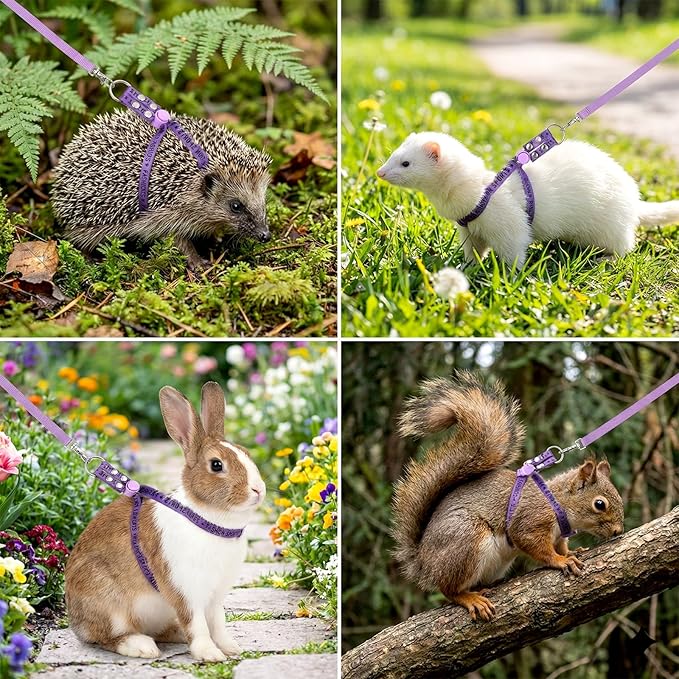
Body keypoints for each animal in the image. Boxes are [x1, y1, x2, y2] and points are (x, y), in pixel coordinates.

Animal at [65, 381, 267, 662]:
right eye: (216, 465)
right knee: (107, 637)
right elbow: (197, 623)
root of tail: (75, 621)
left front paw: (230, 648)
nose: (258, 489)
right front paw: (209, 654)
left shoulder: (215, 597)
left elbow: (218, 622)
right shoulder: (186, 591)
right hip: (108, 602)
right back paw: (141, 646)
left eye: (246, 453)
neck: (207, 519)